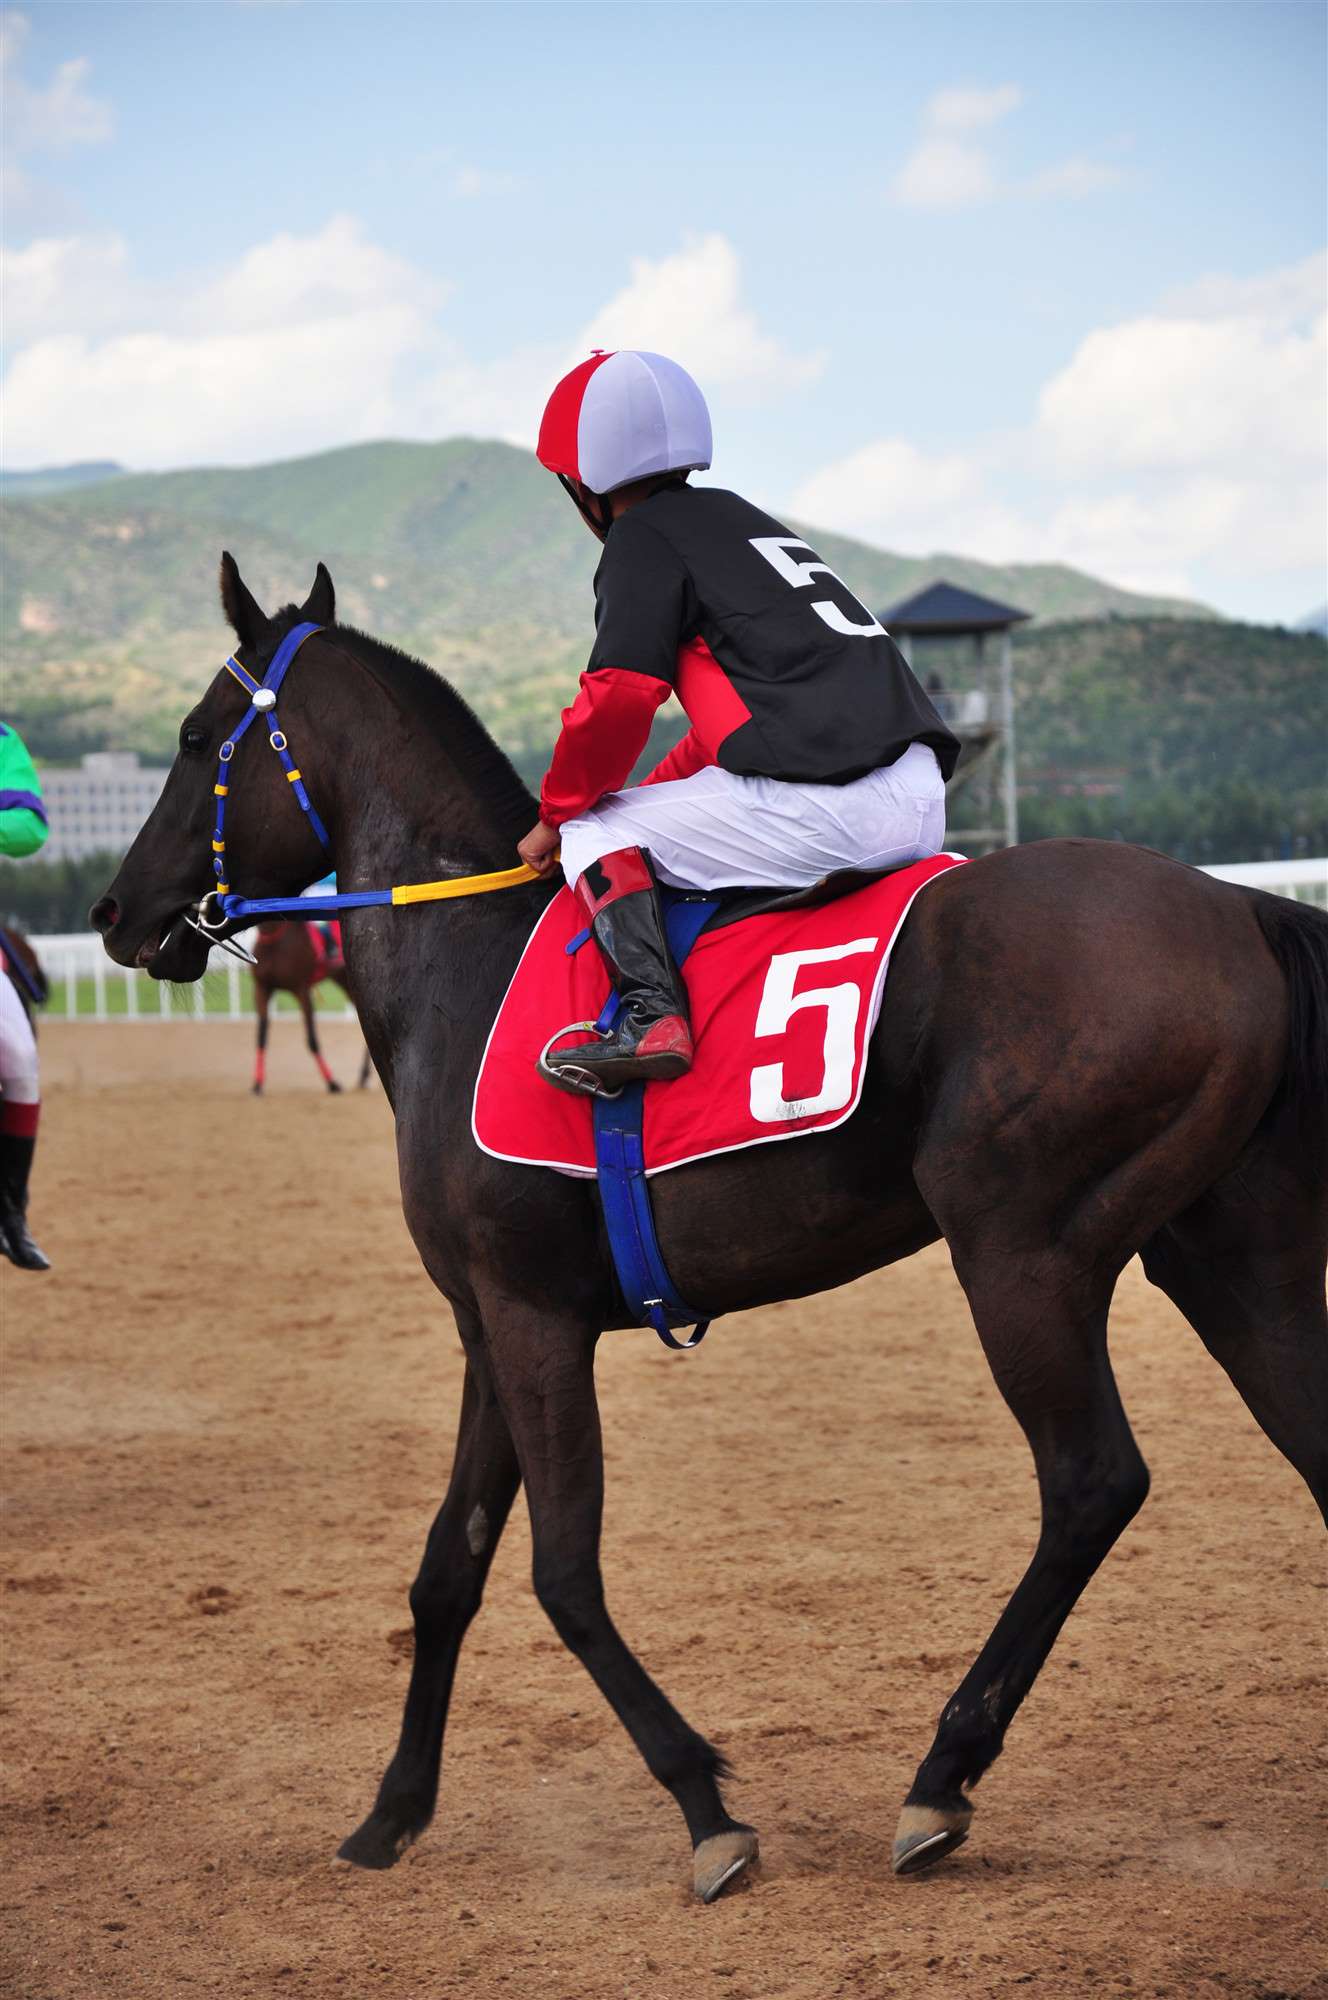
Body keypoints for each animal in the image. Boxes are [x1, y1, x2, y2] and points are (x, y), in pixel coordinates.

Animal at [250, 917, 372, 1095]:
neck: (273, 939)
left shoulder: (301, 989)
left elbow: (312, 1040)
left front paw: (332, 1083)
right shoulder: (262, 989)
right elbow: (261, 1036)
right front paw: (257, 1083)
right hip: (345, 981)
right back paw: (364, 1075)